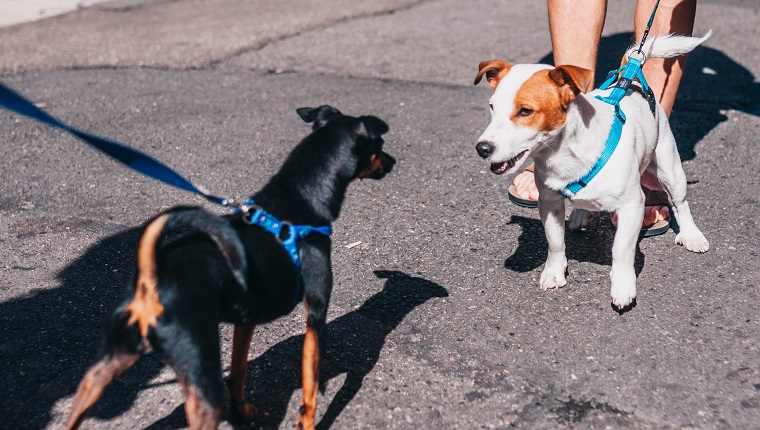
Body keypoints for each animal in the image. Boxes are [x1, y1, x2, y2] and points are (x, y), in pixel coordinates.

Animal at [66, 105, 394, 430]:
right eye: (380, 145)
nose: (393, 161)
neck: (300, 196)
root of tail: (151, 280)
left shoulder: (246, 319)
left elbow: (238, 371)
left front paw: (241, 412)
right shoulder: (316, 316)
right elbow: (310, 390)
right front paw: (306, 422)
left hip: (107, 365)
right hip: (201, 379)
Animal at [476, 33, 712, 310]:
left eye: (525, 111)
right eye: (492, 107)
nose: (482, 148)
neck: (564, 155)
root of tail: (629, 80)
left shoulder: (632, 206)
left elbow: (621, 250)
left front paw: (622, 286)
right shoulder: (549, 202)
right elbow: (555, 241)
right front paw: (554, 272)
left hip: (669, 167)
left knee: (680, 203)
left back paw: (691, 235)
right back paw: (579, 214)